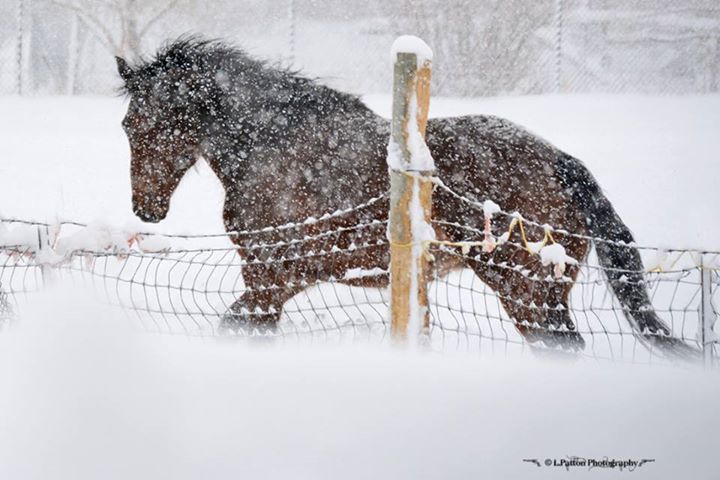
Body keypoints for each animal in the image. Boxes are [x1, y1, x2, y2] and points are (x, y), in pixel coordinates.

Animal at [116, 37, 692, 354]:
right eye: (127, 125)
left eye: (155, 124)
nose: (146, 208)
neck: (277, 150)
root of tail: (561, 161)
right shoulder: (273, 281)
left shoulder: (272, 278)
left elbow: (237, 328)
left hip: (528, 293)